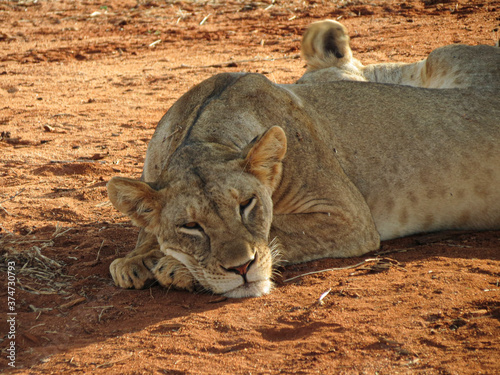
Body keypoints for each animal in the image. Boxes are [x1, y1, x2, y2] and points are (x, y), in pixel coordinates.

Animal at [106, 73, 500, 298]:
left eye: (247, 204)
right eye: (191, 225)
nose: (242, 269)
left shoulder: (349, 216)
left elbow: (279, 229)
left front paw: (172, 267)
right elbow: (144, 234)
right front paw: (135, 260)